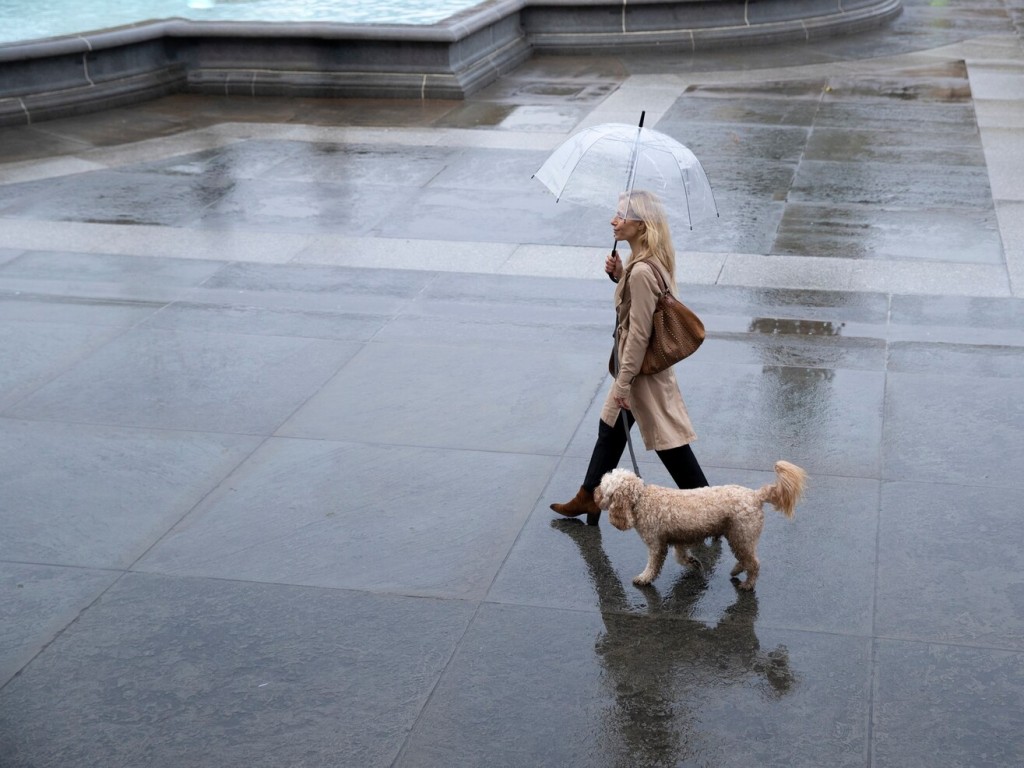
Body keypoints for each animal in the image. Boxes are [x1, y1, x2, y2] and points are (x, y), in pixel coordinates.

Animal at [593, 462, 806, 589]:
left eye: (603, 488)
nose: (594, 493)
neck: (640, 499)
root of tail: (755, 495)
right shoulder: (678, 538)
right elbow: (680, 557)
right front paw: (693, 562)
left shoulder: (656, 544)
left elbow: (653, 565)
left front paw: (644, 578)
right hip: (738, 536)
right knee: (746, 559)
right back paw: (736, 571)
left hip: (742, 535)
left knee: (753, 563)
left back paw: (747, 584)